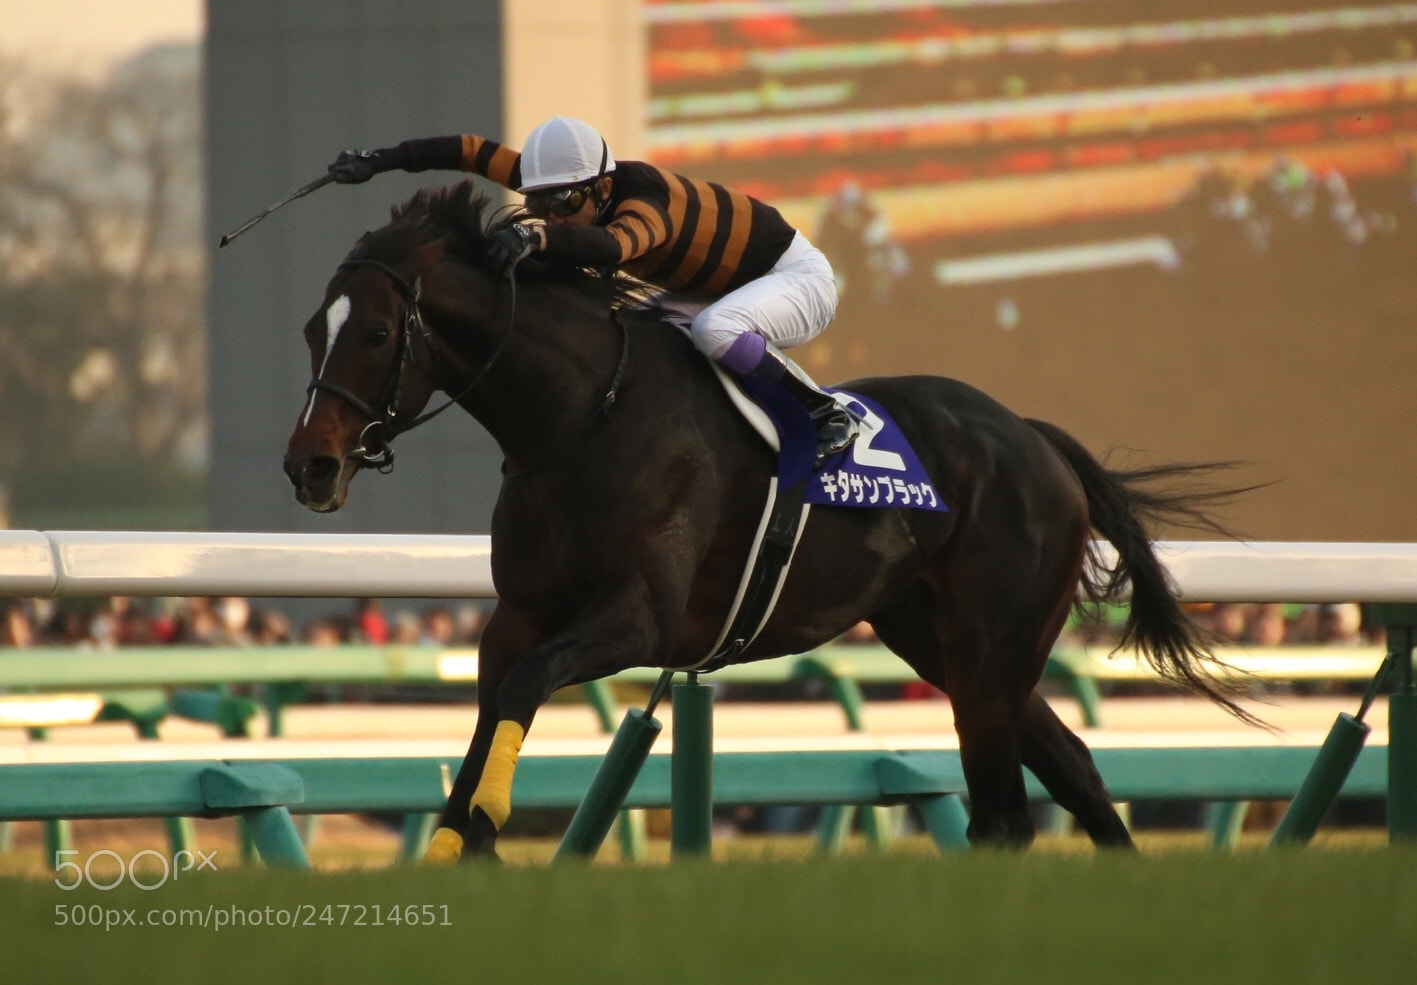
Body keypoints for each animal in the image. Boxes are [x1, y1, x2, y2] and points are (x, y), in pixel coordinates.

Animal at [283, 180, 1253, 862]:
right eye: (310, 330)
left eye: (376, 334)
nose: (308, 465)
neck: (580, 417)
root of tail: (1034, 438)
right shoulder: (517, 615)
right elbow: (494, 706)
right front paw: (461, 838)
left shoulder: (639, 618)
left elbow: (523, 689)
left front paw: (483, 822)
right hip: (940, 637)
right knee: (1073, 768)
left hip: (991, 642)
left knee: (1004, 812)